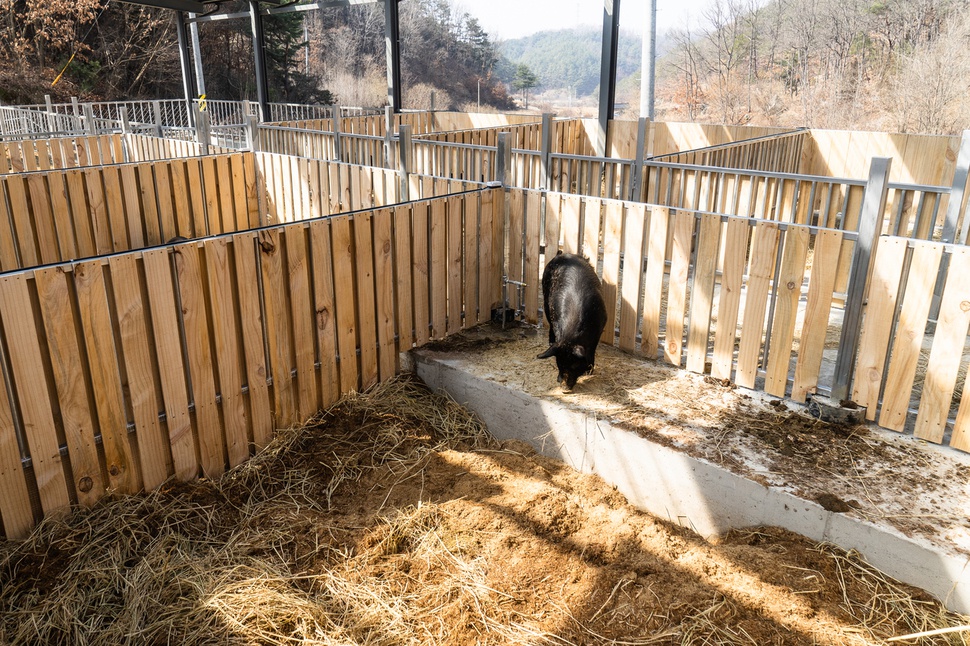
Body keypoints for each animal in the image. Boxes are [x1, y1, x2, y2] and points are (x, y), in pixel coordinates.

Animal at [536, 252, 604, 390]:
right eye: (559, 363)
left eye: (574, 365)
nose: (563, 388)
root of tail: (563, 254)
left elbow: (592, 351)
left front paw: (590, 372)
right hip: (545, 298)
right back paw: (550, 342)